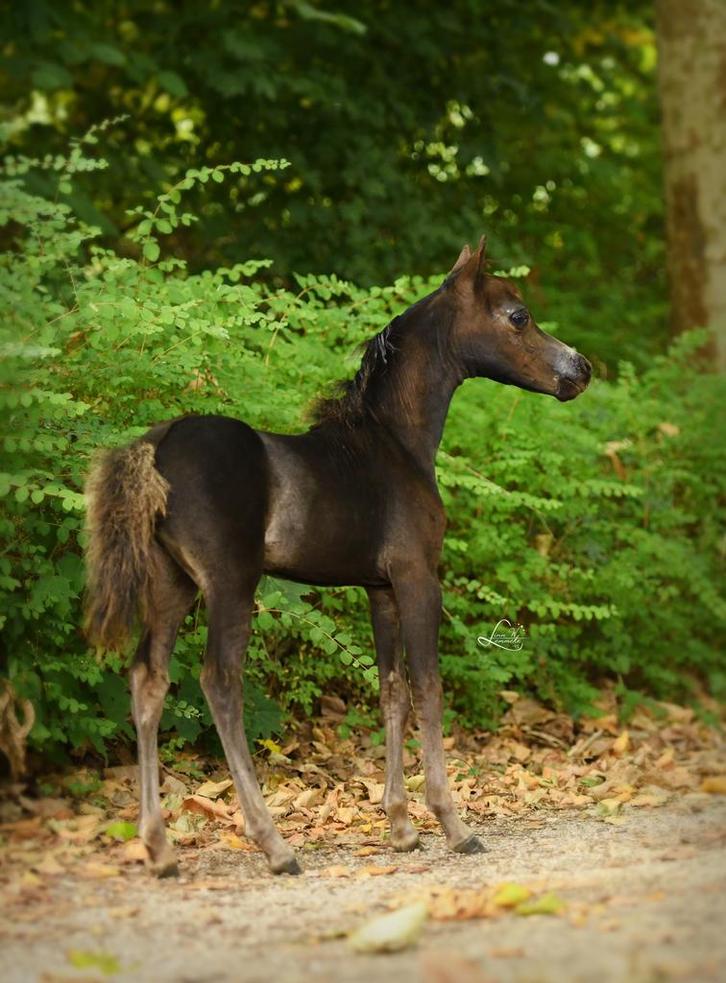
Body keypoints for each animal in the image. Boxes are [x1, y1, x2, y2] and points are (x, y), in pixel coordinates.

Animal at [84, 238, 592, 876]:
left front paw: (401, 827)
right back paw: (274, 845)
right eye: (518, 316)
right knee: (219, 681)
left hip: (171, 584)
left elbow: (391, 691)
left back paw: (158, 847)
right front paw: (453, 825)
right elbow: (429, 687)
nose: (581, 369)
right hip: (230, 583)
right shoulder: (418, 577)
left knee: (148, 680)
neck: (394, 443)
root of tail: (157, 445)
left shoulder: (379, 588)